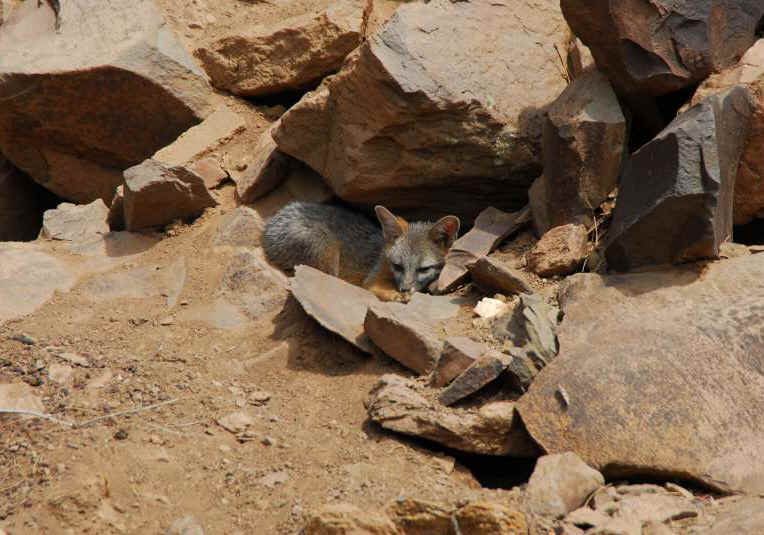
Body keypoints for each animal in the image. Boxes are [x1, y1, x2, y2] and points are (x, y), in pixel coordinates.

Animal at [262, 201, 460, 301]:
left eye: (424, 269)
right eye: (397, 266)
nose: (404, 289)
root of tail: (268, 228)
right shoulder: (371, 280)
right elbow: (373, 288)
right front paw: (396, 295)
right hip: (327, 249)